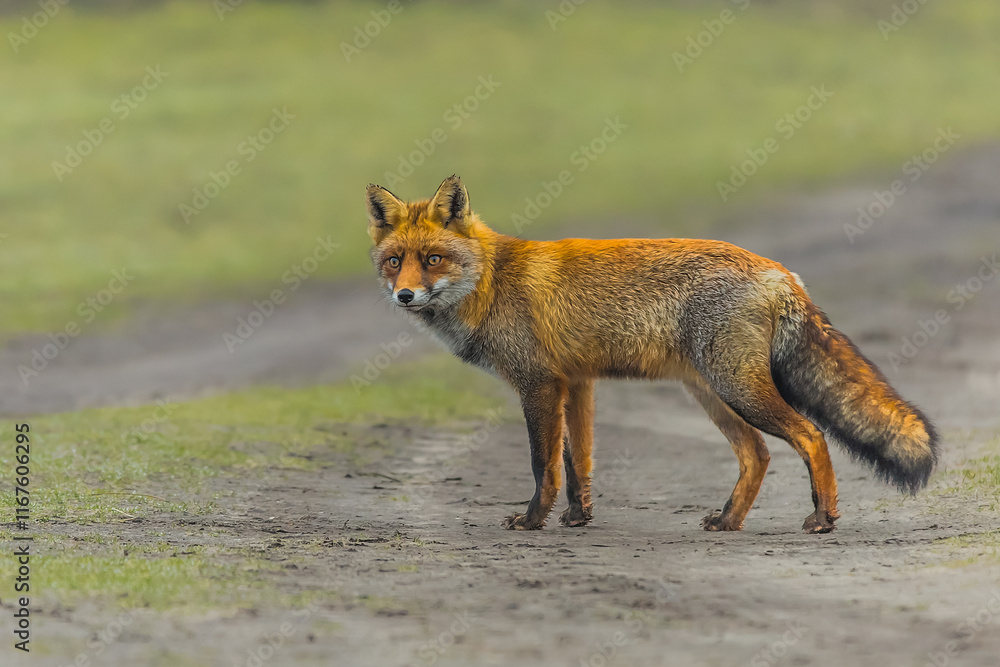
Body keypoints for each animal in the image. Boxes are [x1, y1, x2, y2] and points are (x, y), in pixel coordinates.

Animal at [366, 175, 939, 534]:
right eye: (395, 261)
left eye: (433, 259)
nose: (405, 296)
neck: (491, 282)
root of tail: (779, 271)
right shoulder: (576, 383)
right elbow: (578, 461)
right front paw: (577, 519)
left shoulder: (539, 384)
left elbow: (542, 465)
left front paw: (532, 521)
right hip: (711, 394)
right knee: (757, 454)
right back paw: (728, 522)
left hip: (736, 388)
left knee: (811, 435)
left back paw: (822, 519)